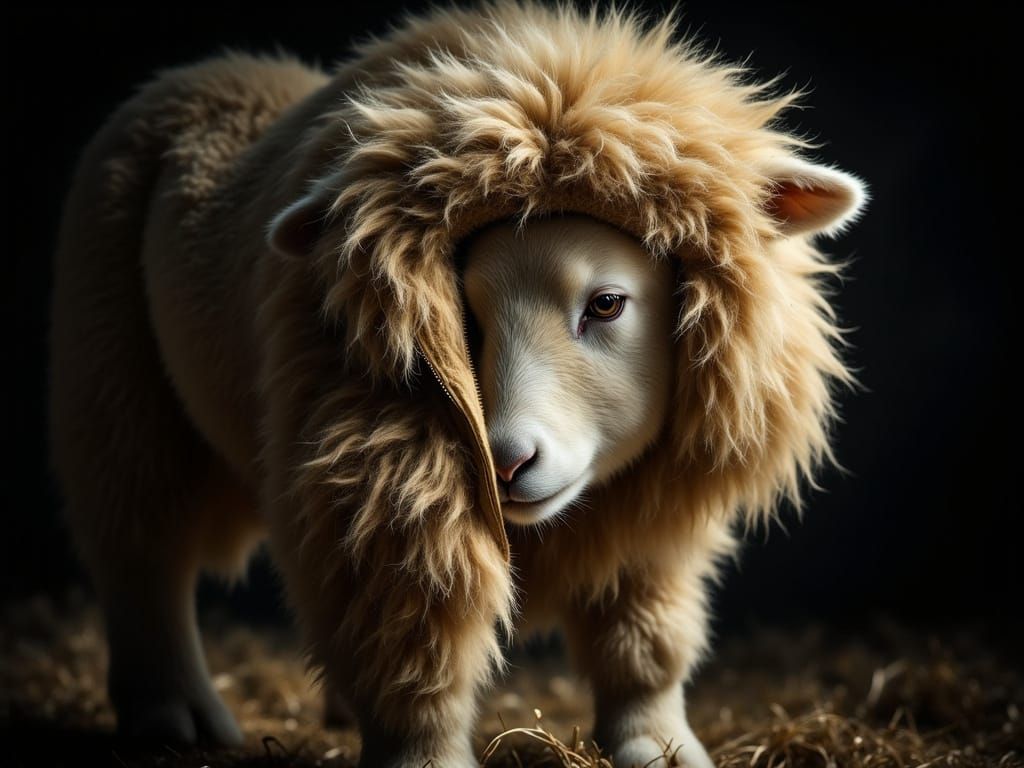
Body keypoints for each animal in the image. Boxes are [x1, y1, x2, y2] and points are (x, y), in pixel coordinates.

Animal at [48, 4, 866, 767]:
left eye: (606, 303)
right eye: (461, 313)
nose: (506, 461)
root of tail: (204, 72)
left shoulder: (650, 524)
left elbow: (644, 644)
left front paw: (657, 745)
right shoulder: (388, 493)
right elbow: (415, 646)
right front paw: (422, 752)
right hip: (114, 393)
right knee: (143, 558)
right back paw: (172, 714)